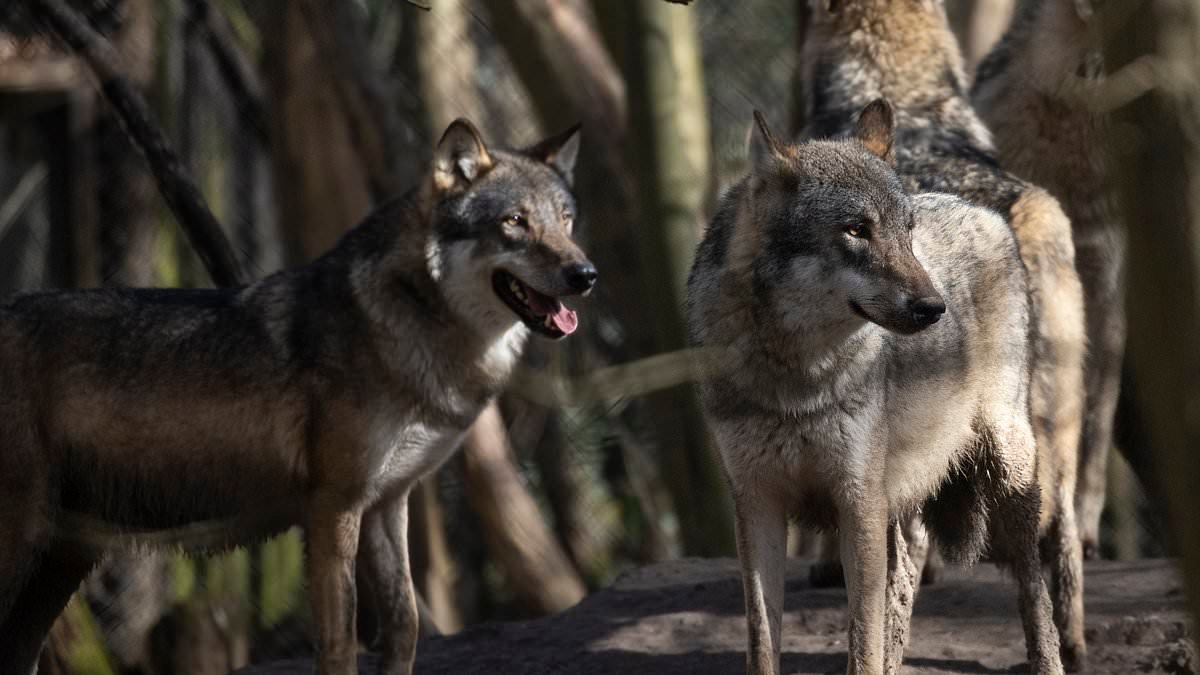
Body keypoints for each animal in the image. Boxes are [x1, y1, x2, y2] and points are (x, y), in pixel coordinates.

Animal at [0, 118, 594, 675]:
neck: (404, 324)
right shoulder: (333, 507)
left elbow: (405, 625)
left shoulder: (387, 504)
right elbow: (340, 642)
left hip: (58, 567)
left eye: (566, 220)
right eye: (514, 222)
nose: (585, 274)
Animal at [688, 101, 1062, 675]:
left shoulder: (857, 499)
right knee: (906, 572)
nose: (934, 309)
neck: (795, 380)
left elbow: (861, 638)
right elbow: (762, 638)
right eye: (856, 230)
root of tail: (981, 209)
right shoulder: (757, 504)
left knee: (1032, 584)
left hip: (1006, 468)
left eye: (906, 232)